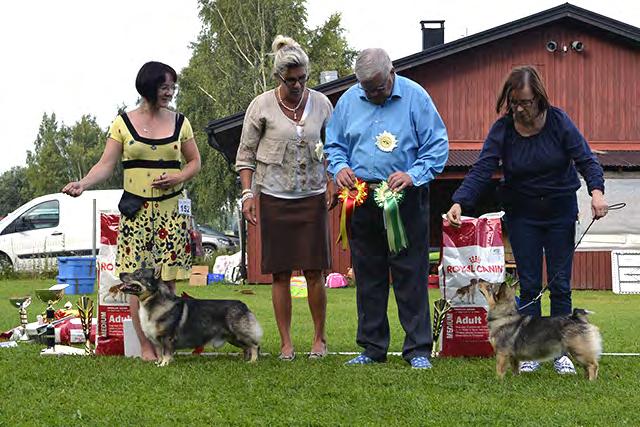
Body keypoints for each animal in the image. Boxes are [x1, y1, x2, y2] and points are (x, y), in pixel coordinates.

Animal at [117, 270, 262, 366]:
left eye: (138, 274)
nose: (120, 274)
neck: (153, 300)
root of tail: (243, 305)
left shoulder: (167, 338)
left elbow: (166, 353)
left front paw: (164, 364)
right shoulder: (157, 340)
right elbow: (160, 352)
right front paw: (159, 363)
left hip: (240, 333)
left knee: (254, 346)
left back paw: (252, 361)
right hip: (233, 338)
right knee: (247, 348)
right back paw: (245, 360)